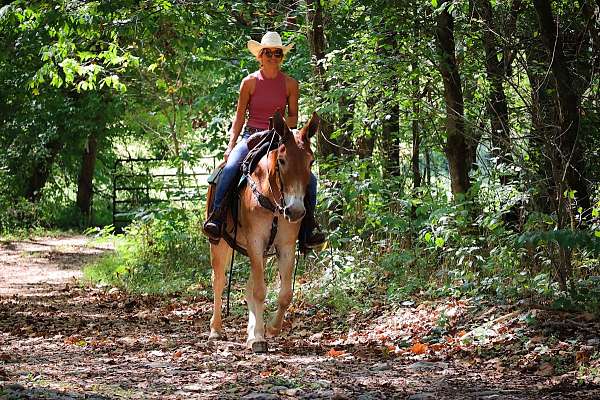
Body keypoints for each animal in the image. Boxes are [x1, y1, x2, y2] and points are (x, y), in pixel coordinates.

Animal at [205, 111, 318, 352]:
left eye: (311, 161)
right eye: (282, 161)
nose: (295, 210)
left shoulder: (285, 246)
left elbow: (284, 294)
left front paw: (271, 329)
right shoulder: (255, 241)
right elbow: (259, 290)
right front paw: (258, 337)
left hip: (263, 252)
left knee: (248, 286)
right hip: (220, 243)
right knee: (218, 281)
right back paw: (216, 330)